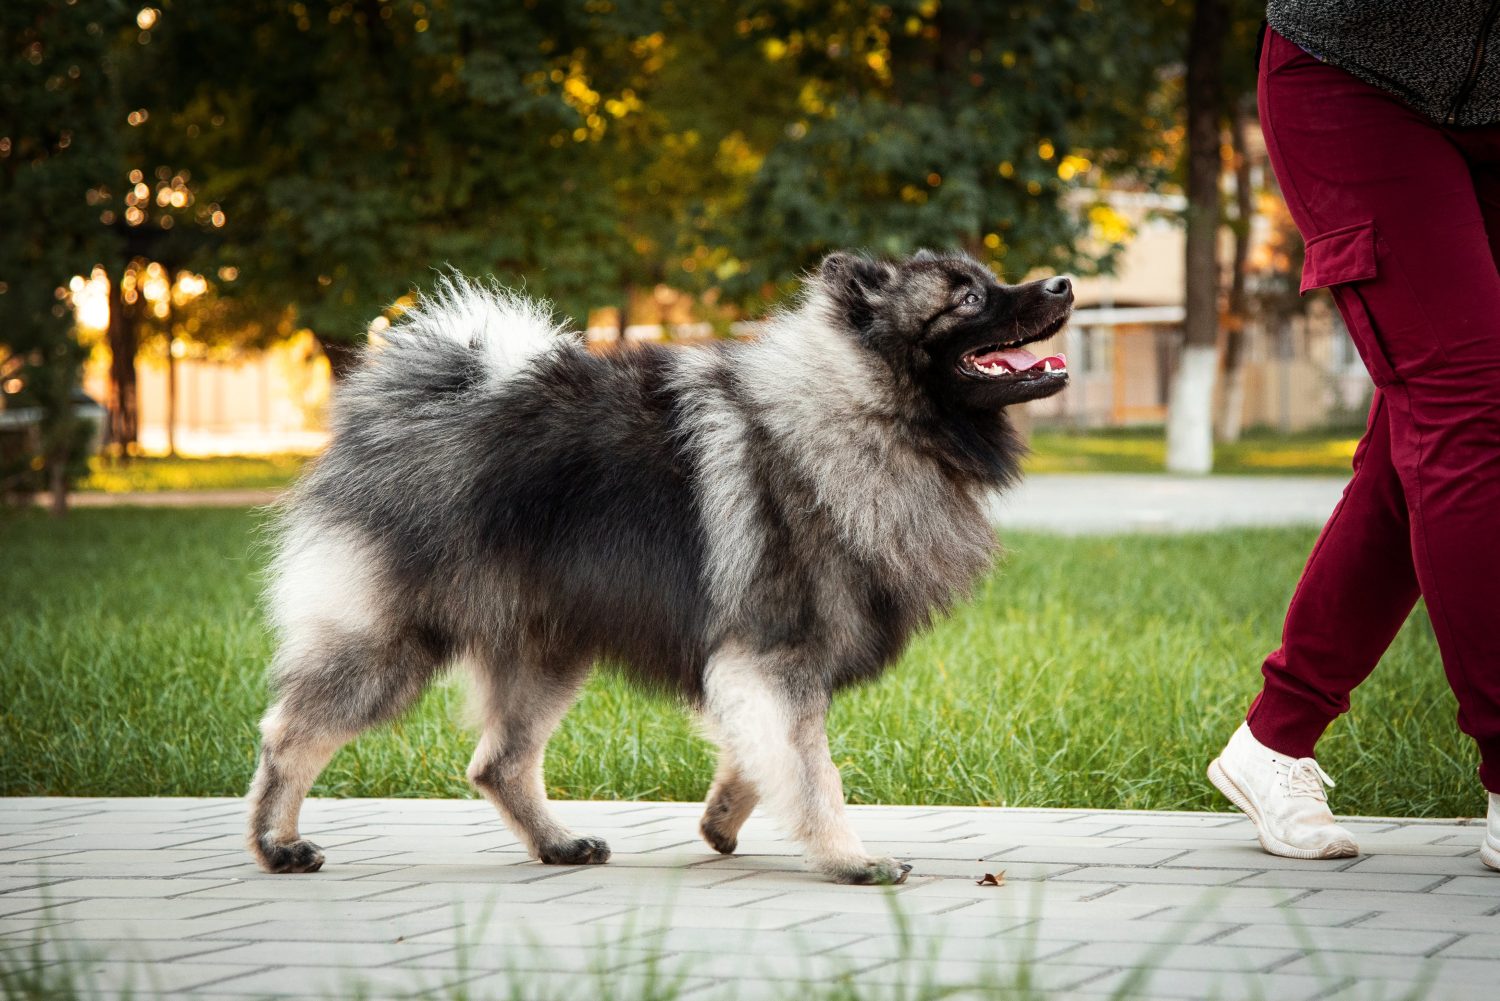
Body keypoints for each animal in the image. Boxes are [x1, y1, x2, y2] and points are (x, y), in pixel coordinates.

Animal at [243, 250, 1068, 882]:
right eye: (969, 297)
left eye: (990, 276)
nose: (1061, 284)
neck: (858, 411)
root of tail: (400, 407)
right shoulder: (777, 653)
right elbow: (812, 774)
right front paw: (850, 859)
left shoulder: (754, 666)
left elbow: (757, 754)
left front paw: (723, 819)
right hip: (395, 639)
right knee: (291, 731)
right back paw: (278, 843)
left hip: (547, 648)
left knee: (499, 762)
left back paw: (557, 843)